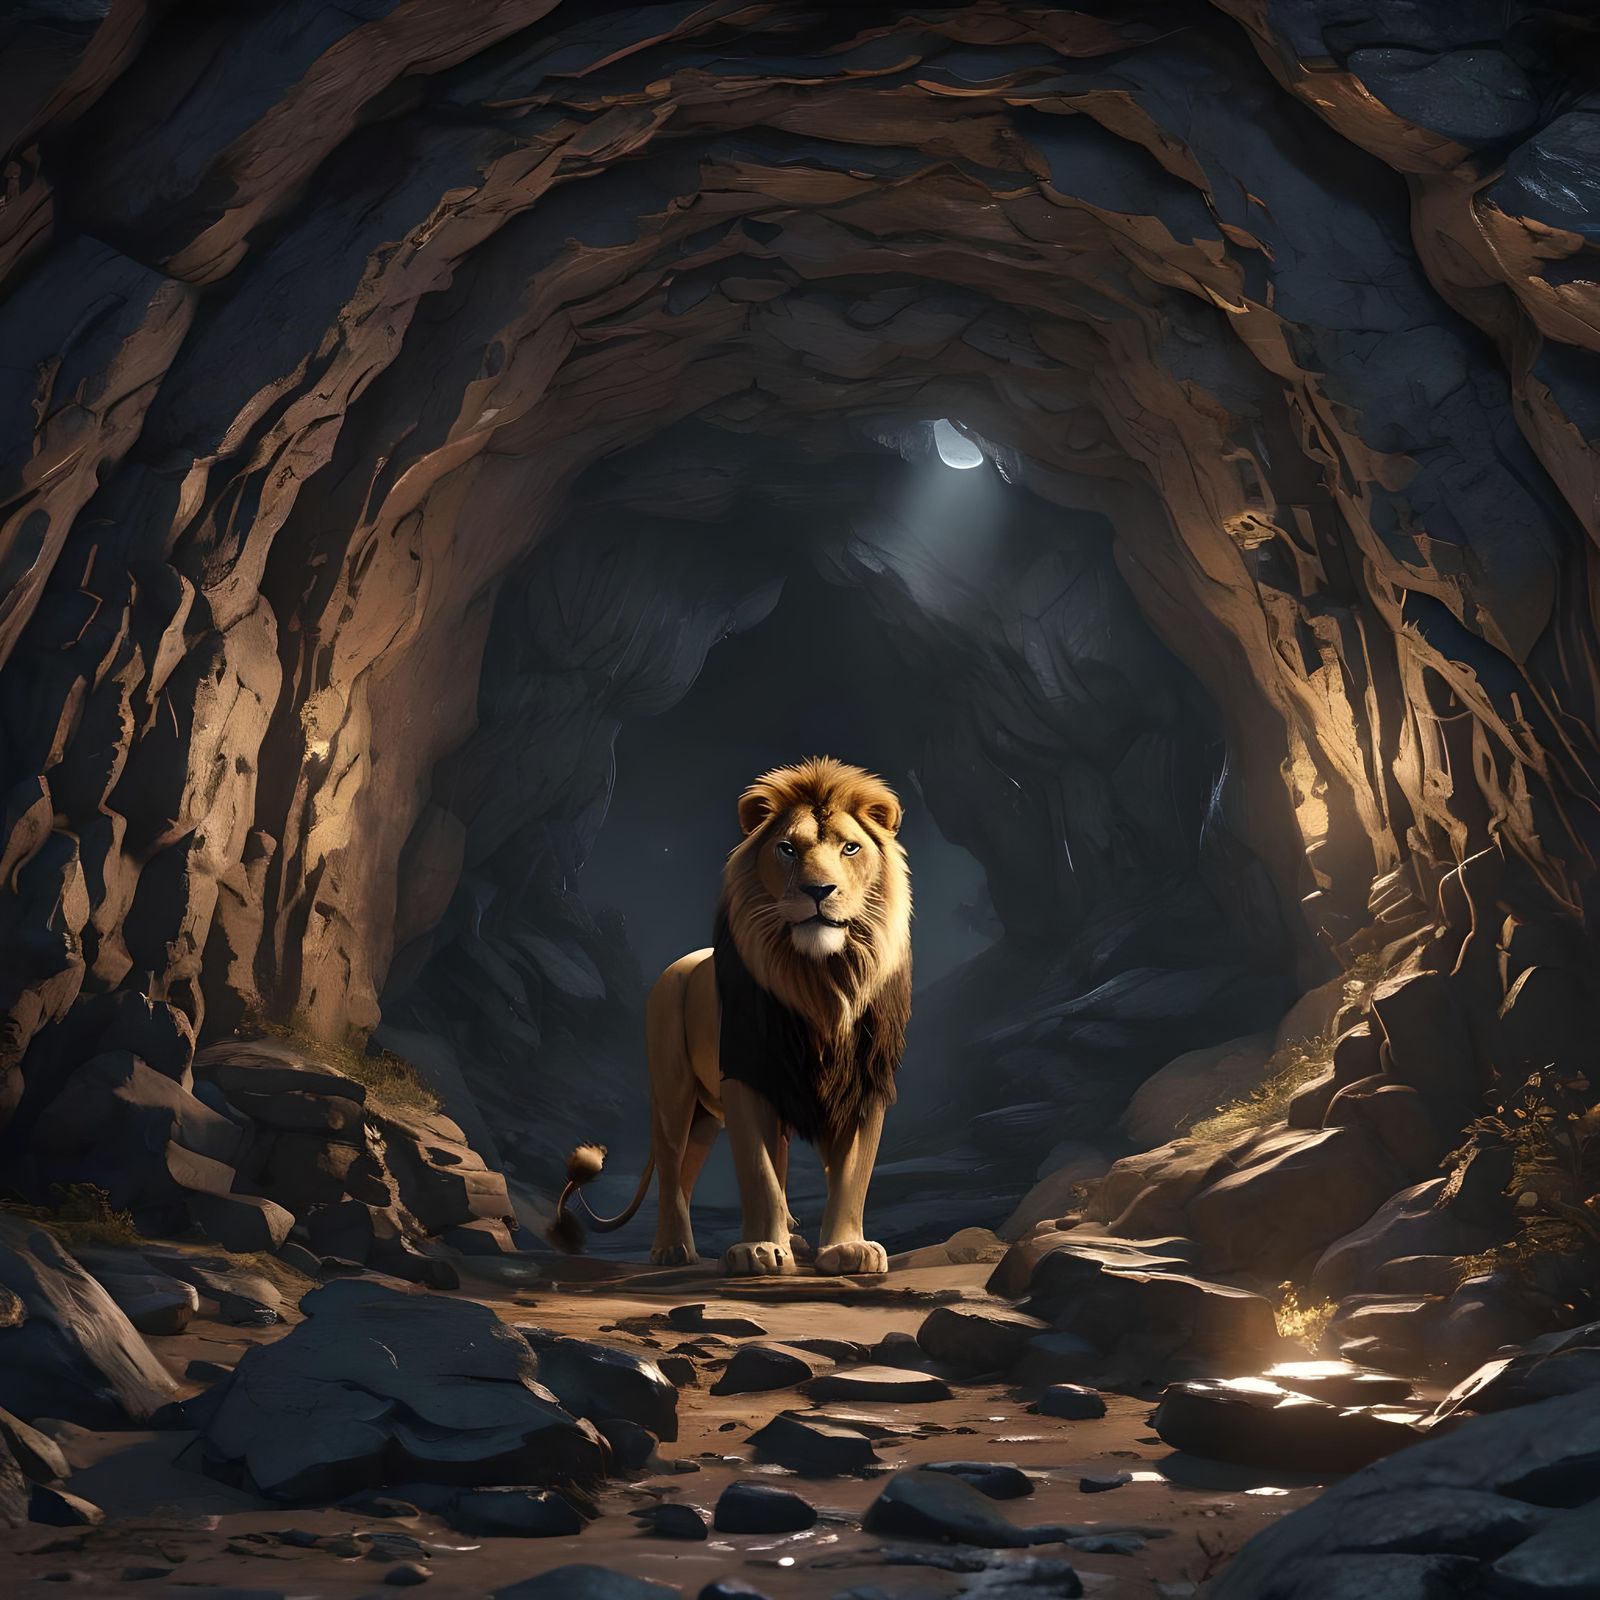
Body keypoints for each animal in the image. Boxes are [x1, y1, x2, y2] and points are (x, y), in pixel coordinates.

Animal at [553, 756, 912, 1276]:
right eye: (787, 848)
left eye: (850, 847)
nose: (818, 890)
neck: (819, 981)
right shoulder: (747, 1075)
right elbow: (757, 1172)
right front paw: (758, 1250)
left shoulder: (864, 1083)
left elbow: (853, 1175)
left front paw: (847, 1249)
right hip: (674, 1093)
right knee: (671, 1169)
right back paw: (672, 1250)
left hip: (709, 1116)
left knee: (695, 1171)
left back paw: (789, 1241)